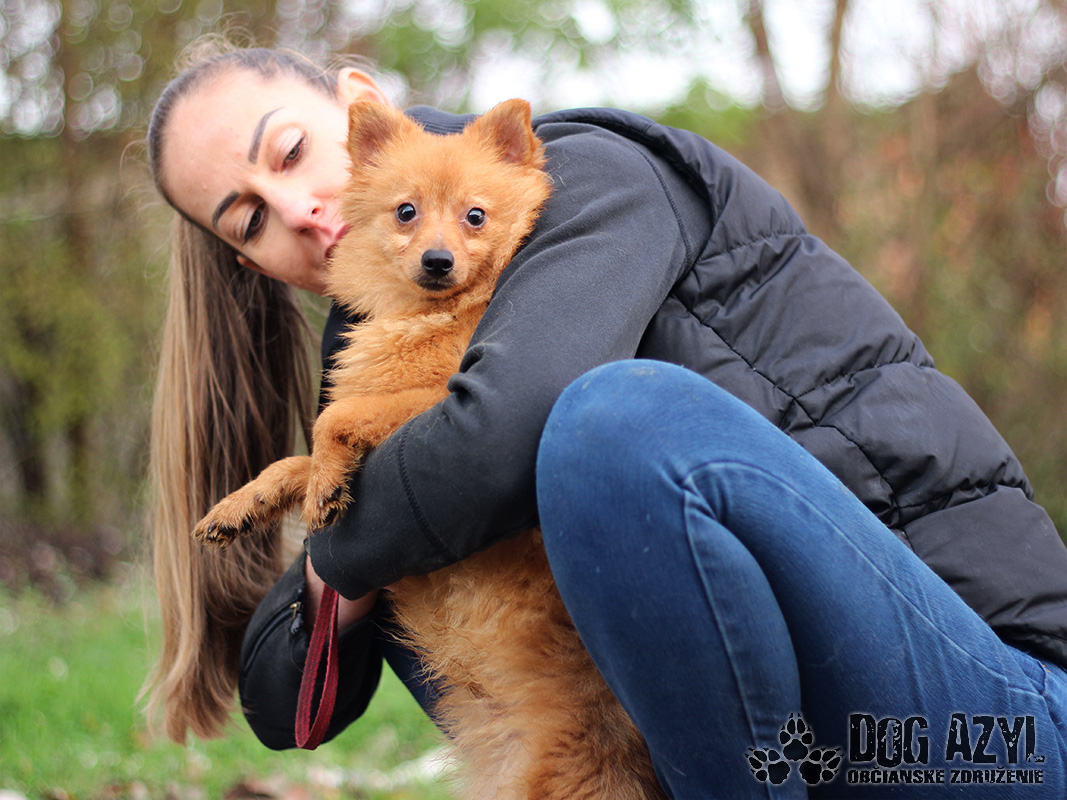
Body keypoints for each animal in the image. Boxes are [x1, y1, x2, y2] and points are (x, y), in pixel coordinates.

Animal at [193, 98, 665, 800]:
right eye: (405, 212)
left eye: (476, 216)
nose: (438, 260)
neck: (427, 314)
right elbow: (292, 459)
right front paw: (246, 504)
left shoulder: (437, 399)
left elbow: (336, 417)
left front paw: (326, 484)